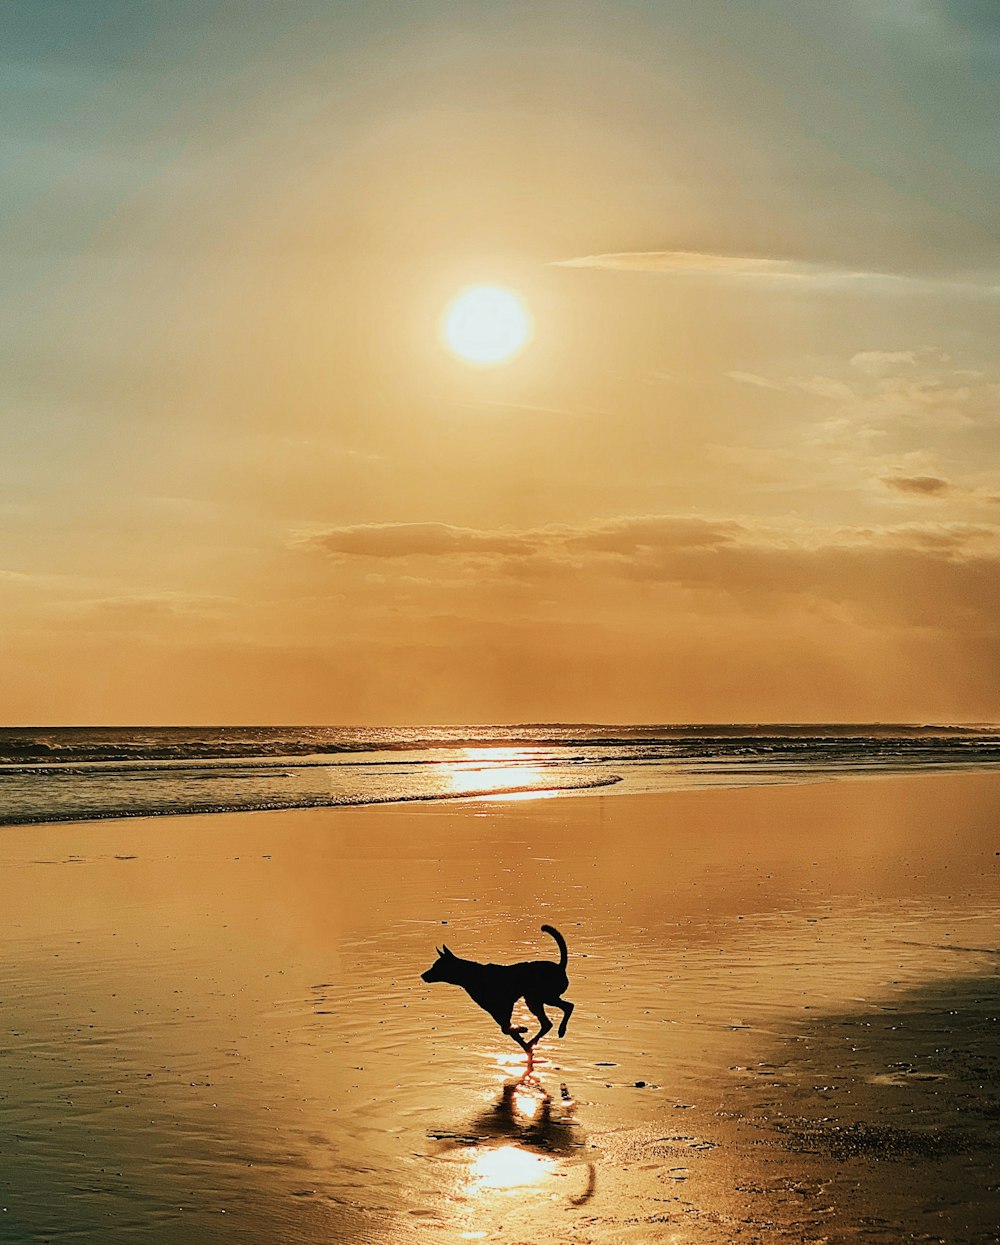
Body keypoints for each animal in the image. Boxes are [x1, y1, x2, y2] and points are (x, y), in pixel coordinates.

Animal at [423, 926, 575, 1050]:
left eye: (437, 966)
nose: (423, 976)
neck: (471, 975)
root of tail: (560, 966)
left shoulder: (505, 1005)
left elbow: (506, 1029)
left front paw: (522, 1029)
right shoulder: (495, 1011)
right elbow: (506, 1029)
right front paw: (520, 1035)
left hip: (539, 998)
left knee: (565, 1009)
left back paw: (558, 1031)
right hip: (538, 998)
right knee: (549, 1021)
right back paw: (534, 1042)